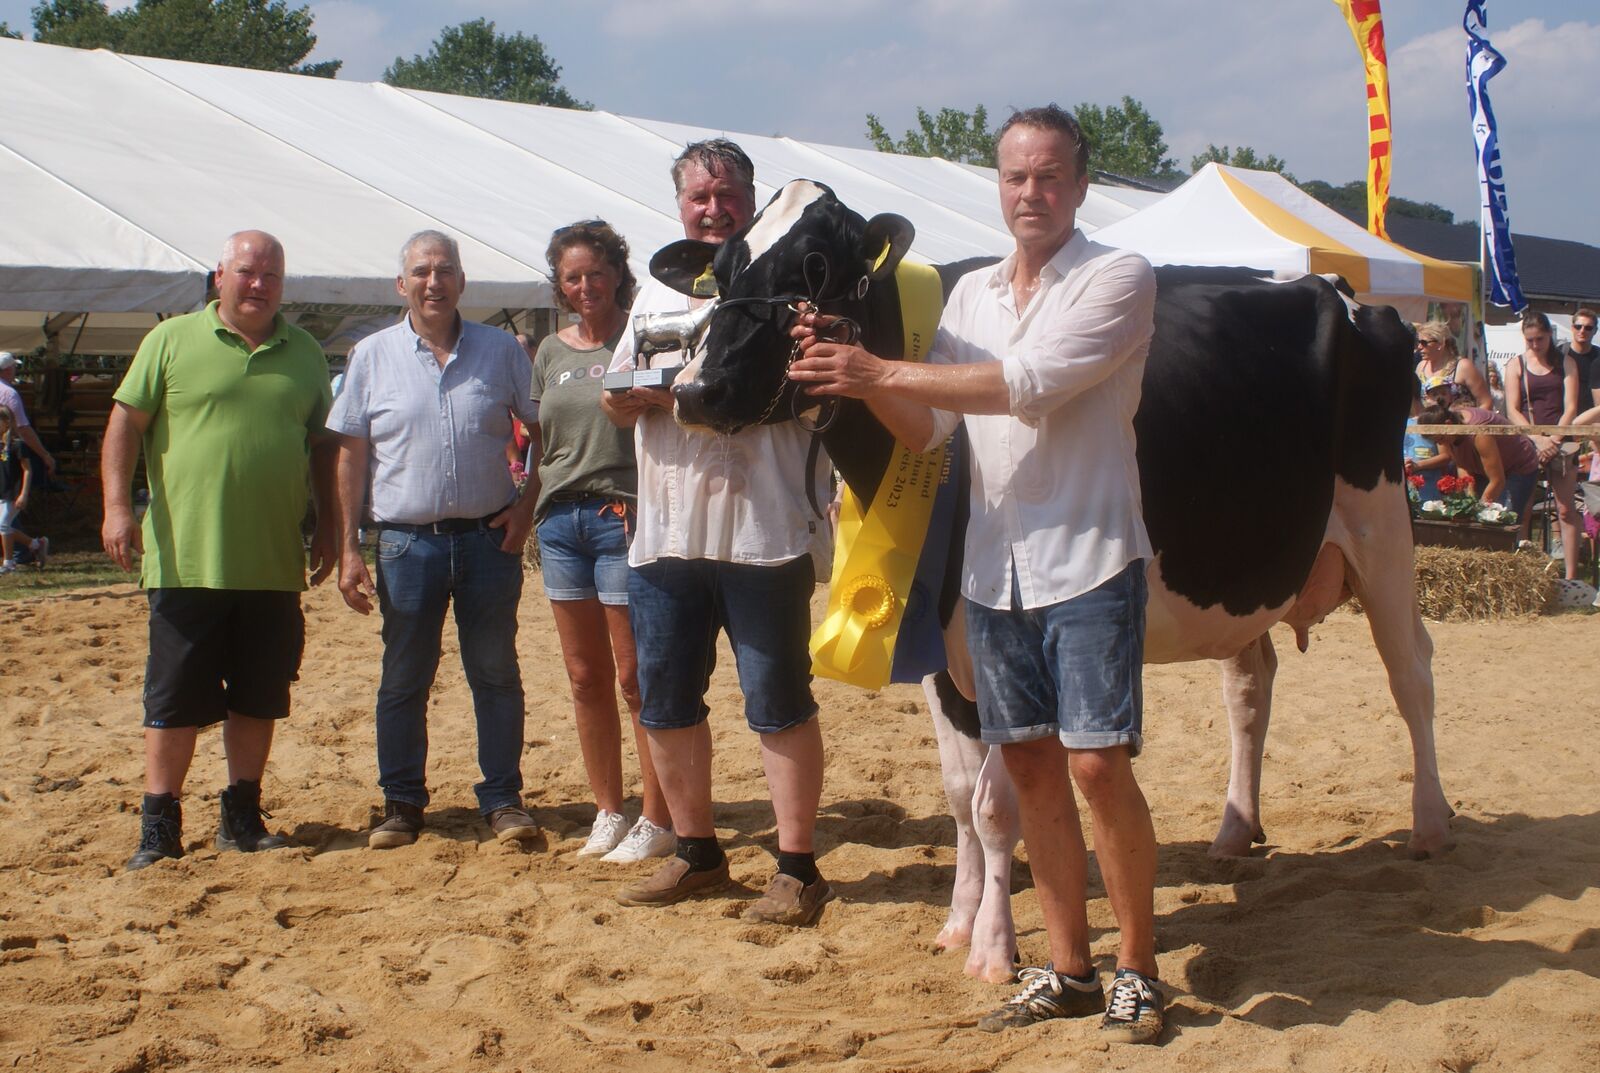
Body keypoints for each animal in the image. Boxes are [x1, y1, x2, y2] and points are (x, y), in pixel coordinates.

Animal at [649, 182, 1452, 985]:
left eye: (814, 266)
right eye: (723, 271)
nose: (693, 389)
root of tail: (1339, 287)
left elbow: (996, 807)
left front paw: (993, 947)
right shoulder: (931, 637)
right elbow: (958, 794)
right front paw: (957, 923)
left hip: (1383, 526)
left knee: (1411, 671)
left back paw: (1430, 823)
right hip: (1239, 566)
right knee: (1251, 684)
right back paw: (1234, 828)